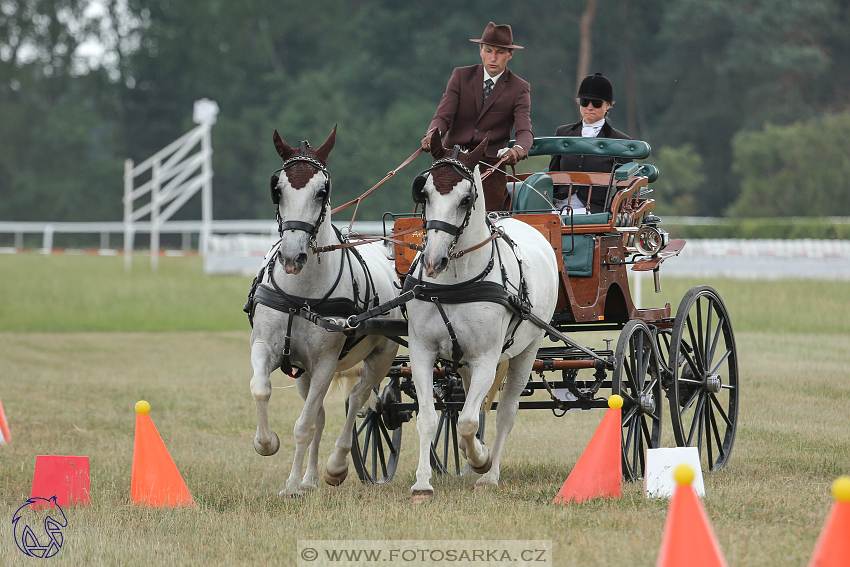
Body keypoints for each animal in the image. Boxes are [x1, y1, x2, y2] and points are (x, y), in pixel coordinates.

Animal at [247, 127, 400, 496]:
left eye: (322, 190)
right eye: (277, 189)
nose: (292, 256)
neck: (300, 295)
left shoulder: (325, 362)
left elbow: (303, 426)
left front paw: (291, 486)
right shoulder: (267, 347)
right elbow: (262, 389)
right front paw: (267, 444)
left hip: (381, 356)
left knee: (360, 401)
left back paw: (335, 466)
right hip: (302, 370)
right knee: (319, 414)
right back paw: (311, 478)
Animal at [402, 131, 556, 504]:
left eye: (466, 198)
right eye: (424, 192)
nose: (434, 261)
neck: (455, 283)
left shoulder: (487, 357)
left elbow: (469, 420)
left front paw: (481, 459)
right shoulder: (422, 351)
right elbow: (430, 418)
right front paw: (423, 484)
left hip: (526, 351)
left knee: (505, 413)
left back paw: (489, 472)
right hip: (465, 363)